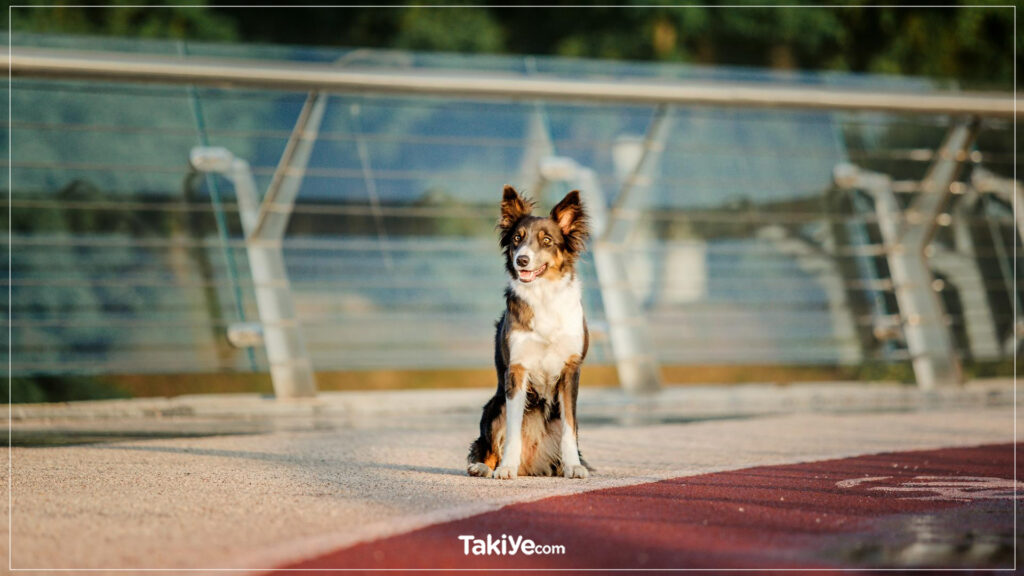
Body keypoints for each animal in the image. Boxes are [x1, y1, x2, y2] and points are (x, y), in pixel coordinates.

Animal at [466, 186, 593, 477]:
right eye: (517, 238)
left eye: (547, 240)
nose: (521, 260)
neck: (543, 294)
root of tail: (531, 465)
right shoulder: (517, 370)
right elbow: (513, 430)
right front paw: (506, 468)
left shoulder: (571, 370)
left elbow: (571, 429)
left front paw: (574, 466)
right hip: (495, 406)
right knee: (488, 445)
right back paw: (483, 467)